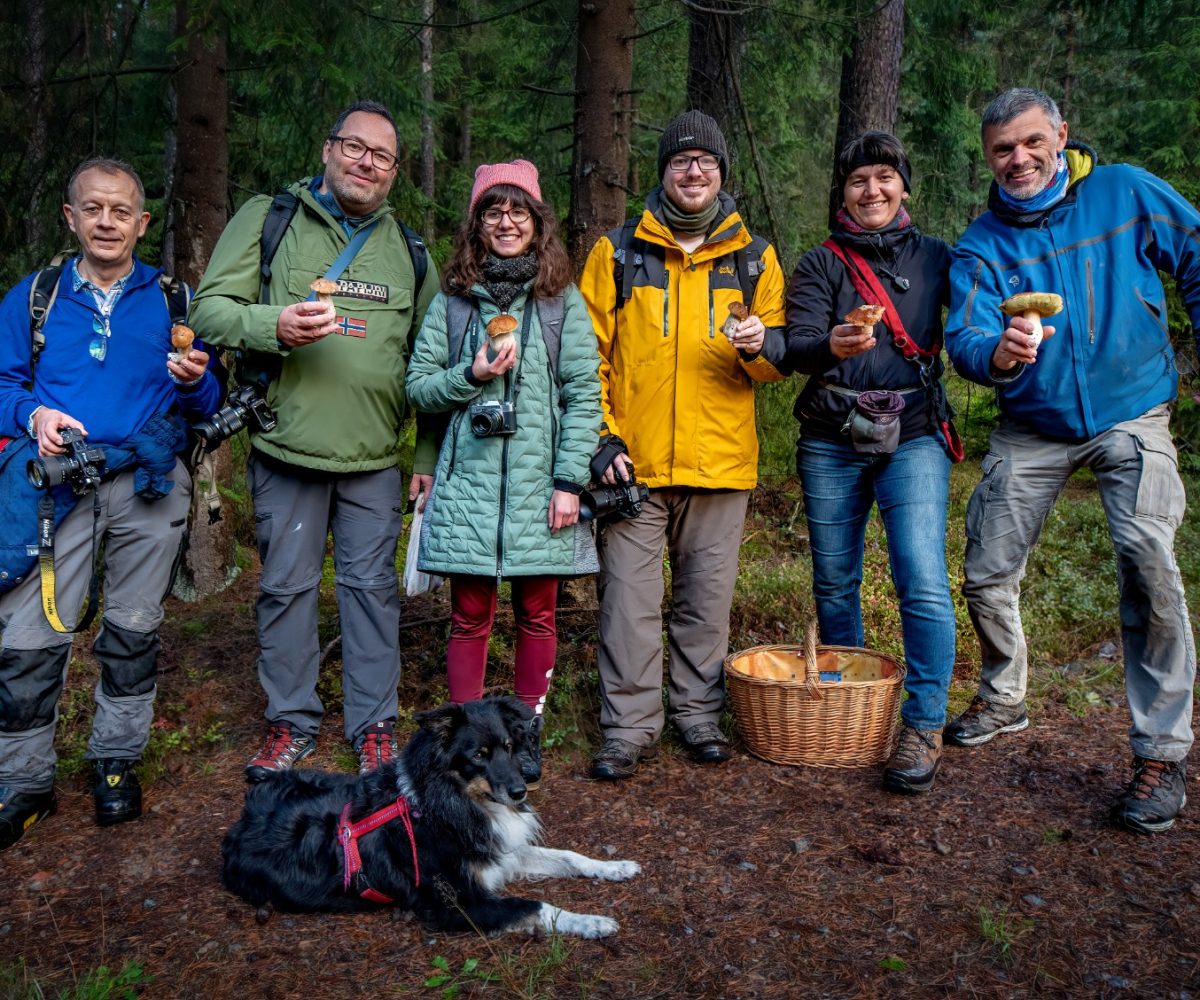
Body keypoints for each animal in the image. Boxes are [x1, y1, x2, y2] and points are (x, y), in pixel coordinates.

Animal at [223, 696, 638, 936]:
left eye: (508, 747)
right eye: (478, 755)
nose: (521, 790)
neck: (449, 802)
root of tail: (240, 821)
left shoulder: (497, 850)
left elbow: (570, 856)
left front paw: (615, 867)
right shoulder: (457, 905)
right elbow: (537, 906)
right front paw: (592, 922)